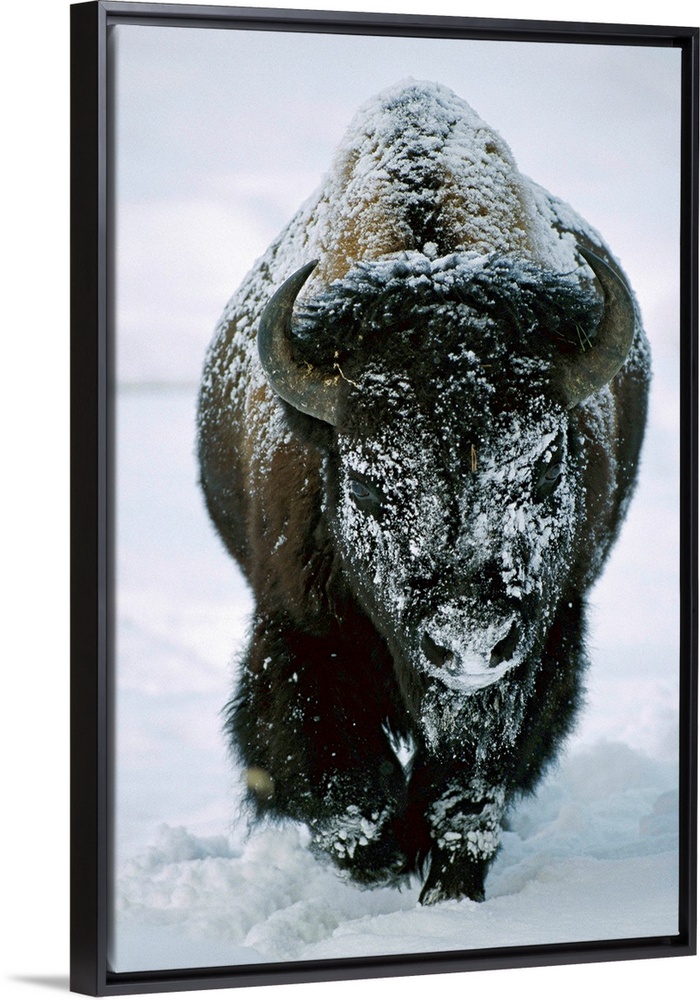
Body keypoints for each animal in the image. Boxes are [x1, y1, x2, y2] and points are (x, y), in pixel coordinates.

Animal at [197, 82, 652, 904]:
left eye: (545, 464)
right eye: (368, 484)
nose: (469, 641)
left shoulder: (541, 644)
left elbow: (466, 789)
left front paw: (447, 887)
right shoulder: (297, 634)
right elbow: (342, 785)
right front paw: (382, 863)